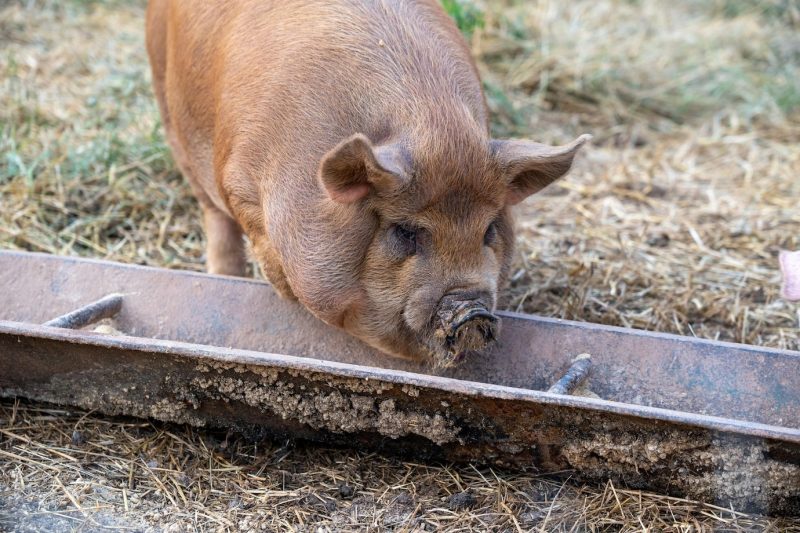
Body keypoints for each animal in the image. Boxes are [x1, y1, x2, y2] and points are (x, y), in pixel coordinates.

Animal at [147, 0, 592, 366]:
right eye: (406, 231)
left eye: (489, 231)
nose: (472, 308)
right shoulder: (239, 182)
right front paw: (283, 294)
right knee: (211, 212)